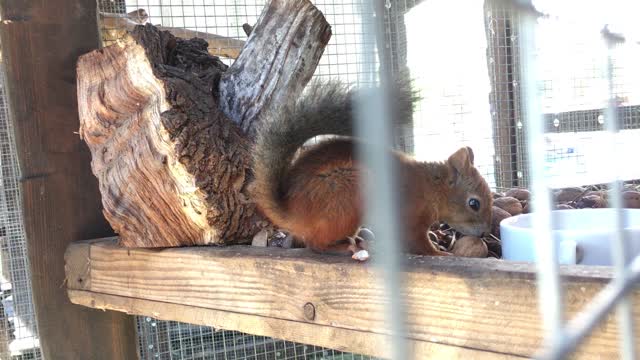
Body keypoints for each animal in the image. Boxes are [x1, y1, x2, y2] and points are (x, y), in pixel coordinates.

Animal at [252, 77, 492, 260]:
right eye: (474, 203)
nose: (484, 233)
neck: (430, 187)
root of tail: (293, 213)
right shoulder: (409, 217)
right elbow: (417, 243)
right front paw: (441, 254)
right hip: (347, 195)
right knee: (315, 244)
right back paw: (343, 247)